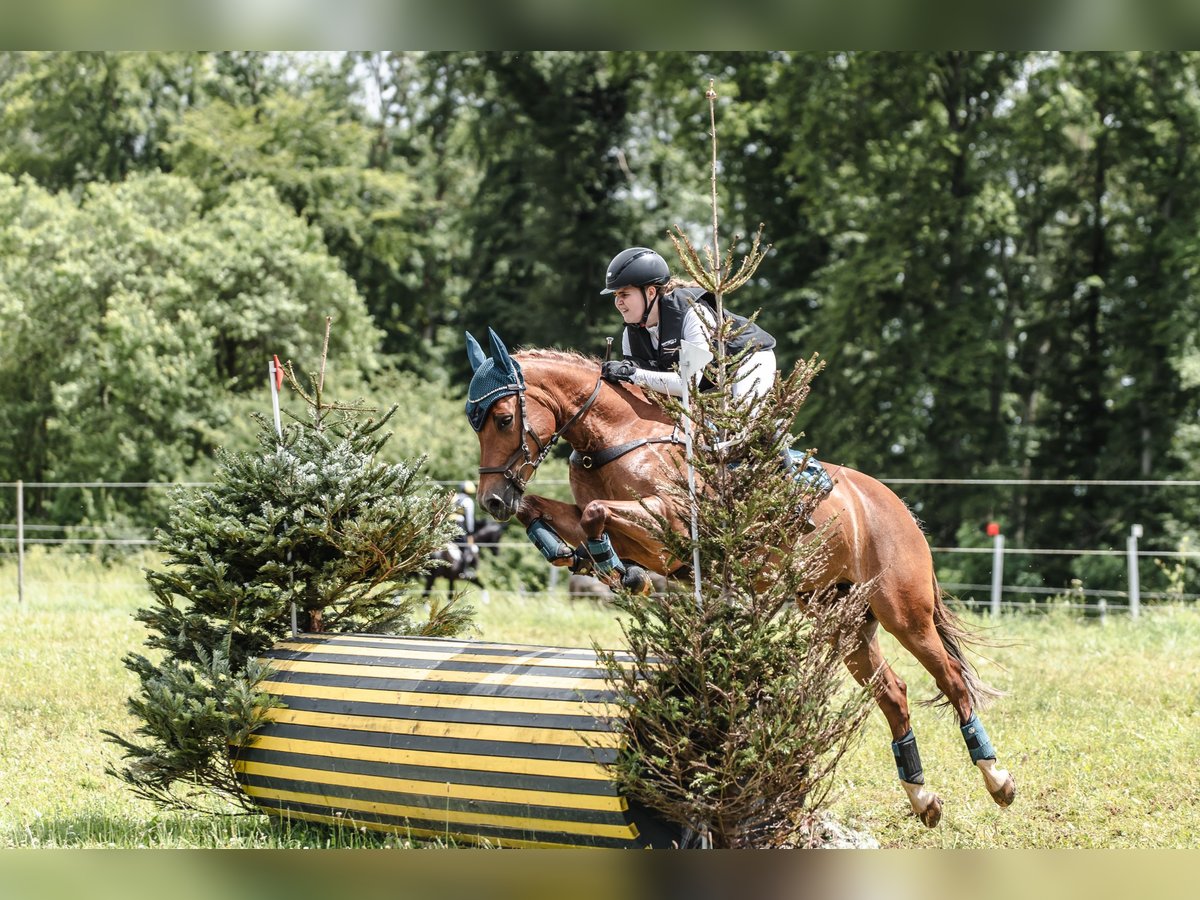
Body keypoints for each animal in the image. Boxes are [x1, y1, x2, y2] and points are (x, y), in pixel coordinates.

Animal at [463, 328, 1017, 830]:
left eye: (505, 419)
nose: (492, 500)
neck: (616, 437)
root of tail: (897, 505)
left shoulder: (670, 523)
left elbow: (599, 512)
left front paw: (618, 571)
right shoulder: (628, 529)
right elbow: (555, 512)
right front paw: (574, 555)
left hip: (904, 611)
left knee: (951, 679)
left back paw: (997, 778)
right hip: (838, 617)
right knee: (894, 693)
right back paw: (922, 798)